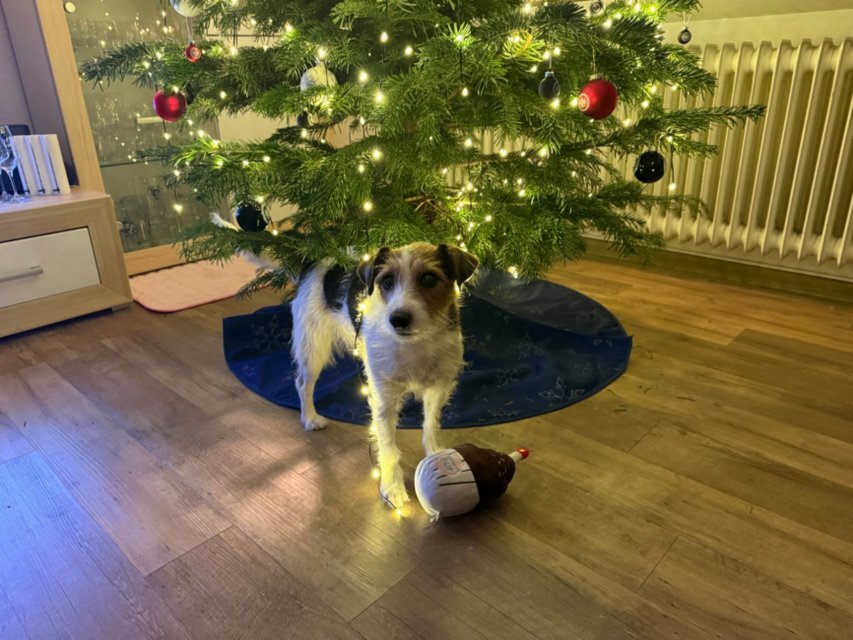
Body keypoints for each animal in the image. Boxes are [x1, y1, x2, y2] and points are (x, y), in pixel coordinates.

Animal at [291, 242, 478, 507]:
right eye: (387, 281)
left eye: (429, 279)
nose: (398, 319)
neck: (416, 344)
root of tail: (314, 261)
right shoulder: (384, 399)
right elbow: (388, 445)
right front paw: (392, 487)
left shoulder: (437, 389)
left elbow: (431, 425)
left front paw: (436, 454)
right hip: (313, 347)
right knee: (303, 383)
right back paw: (310, 418)